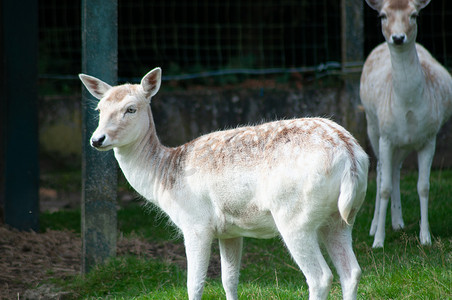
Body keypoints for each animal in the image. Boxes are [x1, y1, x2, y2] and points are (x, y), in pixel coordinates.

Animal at [79, 68, 370, 300]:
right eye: (99, 109)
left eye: (131, 108)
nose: (97, 139)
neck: (165, 177)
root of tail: (350, 154)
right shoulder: (230, 231)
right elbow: (229, 280)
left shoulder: (196, 223)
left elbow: (194, 284)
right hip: (341, 218)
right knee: (351, 271)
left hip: (294, 216)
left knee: (320, 277)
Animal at [360, 0, 452, 248]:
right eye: (383, 15)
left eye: (414, 15)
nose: (398, 37)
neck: (408, 107)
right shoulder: (386, 136)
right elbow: (383, 188)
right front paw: (378, 241)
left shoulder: (429, 138)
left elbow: (423, 186)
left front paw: (425, 237)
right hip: (372, 125)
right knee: (380, 170)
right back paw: (373, 227)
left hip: (403, 143)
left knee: (396, 169)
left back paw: (398, 222)